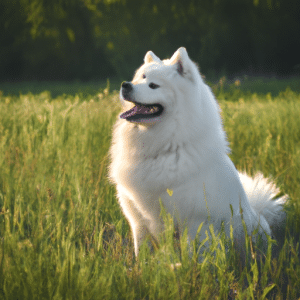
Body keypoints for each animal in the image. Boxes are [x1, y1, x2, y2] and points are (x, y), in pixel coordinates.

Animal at [109, 47, 288, 258]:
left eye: (154, 85)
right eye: (140, 78)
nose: (125, 85)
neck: (166, 147)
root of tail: (258, 212)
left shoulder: (196, 221)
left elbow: (194, 253)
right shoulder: (139, 220)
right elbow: (141, 252)